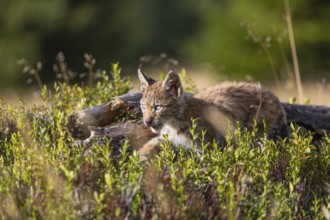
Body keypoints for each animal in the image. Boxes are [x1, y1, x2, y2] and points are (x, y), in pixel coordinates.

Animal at [138, 68, 288, 157]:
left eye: (157, 107)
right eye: (143, 107)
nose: (147, 122)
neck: (172, 122)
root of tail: (272, 94)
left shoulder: (206, 145)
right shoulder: (167, 138)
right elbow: (153, 142)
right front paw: (139, 156)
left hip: (257, 134)